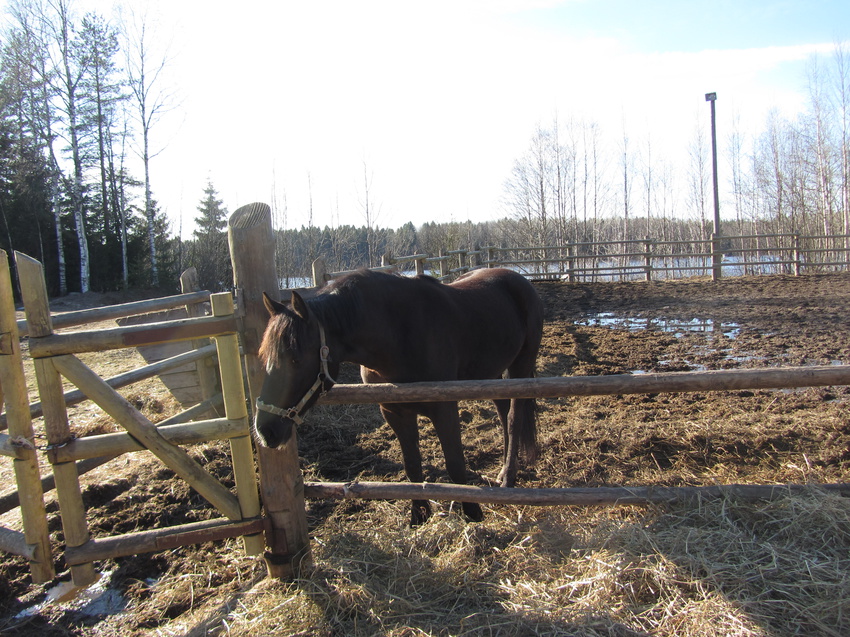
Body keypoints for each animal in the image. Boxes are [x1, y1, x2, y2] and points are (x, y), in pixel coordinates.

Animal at [253, 266, 544, 524]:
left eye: (296, 359)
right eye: (264, 356)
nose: (265, 430)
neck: (400, 333)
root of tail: (518, 279)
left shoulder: (445, 408)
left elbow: (455, 464)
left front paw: (473, 514)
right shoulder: (394, 411)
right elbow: (412, 466)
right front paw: (419, 517)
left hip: (520, 365)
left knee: (515, 418)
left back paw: (508, 478)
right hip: (491, 374)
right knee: (503, 411)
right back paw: (503, 470)